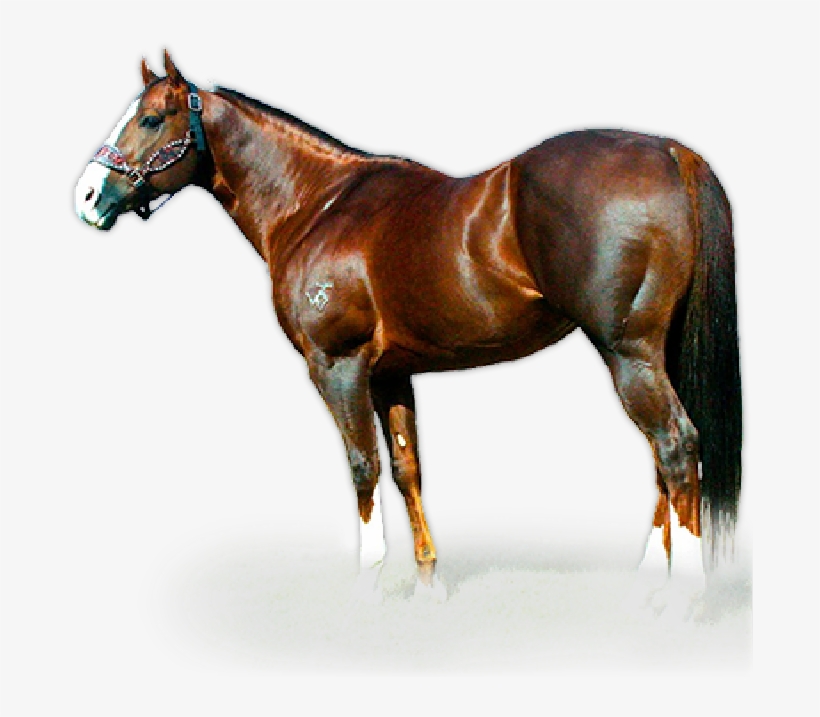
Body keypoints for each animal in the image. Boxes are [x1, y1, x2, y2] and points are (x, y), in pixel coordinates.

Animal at [75, 52, 741, 614]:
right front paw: (427, 581)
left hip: (627, 352)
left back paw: (682, 595)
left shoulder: (337, 366)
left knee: (675, 445)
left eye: (151, 118)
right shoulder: (391, 374)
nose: (87, 195)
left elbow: (362, 465)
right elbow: (406, 468)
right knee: (664, 457)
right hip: (653, 352)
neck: (316, 205)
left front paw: (367, 582)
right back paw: (649, 580)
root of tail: (669, 152)